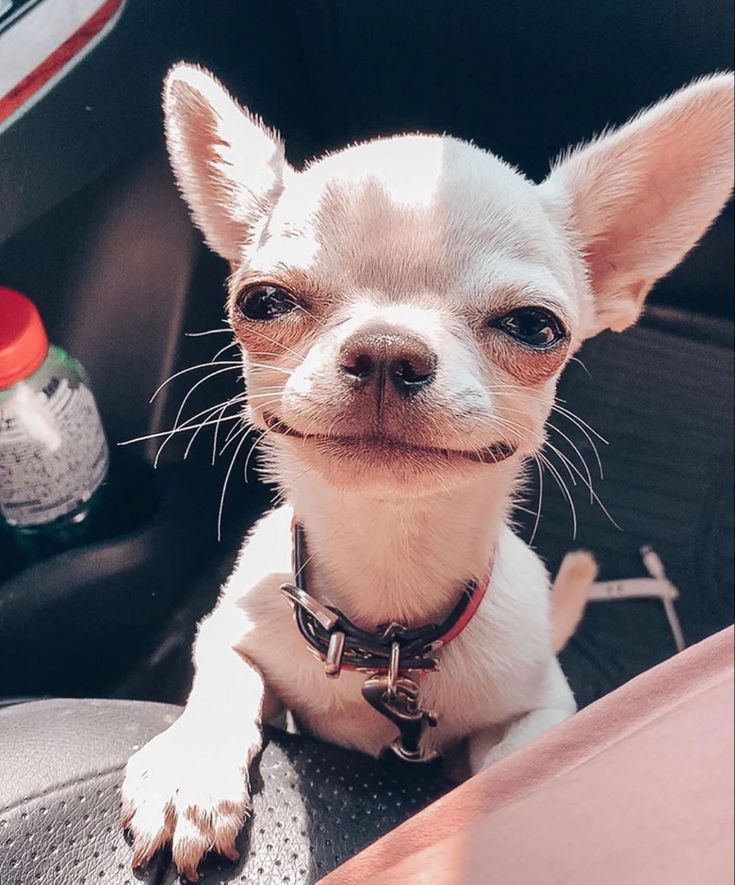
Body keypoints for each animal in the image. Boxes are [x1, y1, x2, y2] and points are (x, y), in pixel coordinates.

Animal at [123, 67, 732, 876]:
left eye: (535, 326)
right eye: (261, 301)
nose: (387, 349)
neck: (389, 624)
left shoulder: (544, 705)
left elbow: (518, 759)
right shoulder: (231, 631)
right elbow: (228, 678)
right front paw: (189, 768)